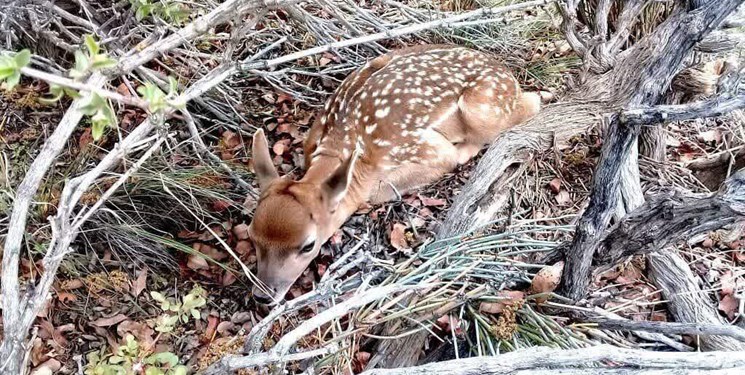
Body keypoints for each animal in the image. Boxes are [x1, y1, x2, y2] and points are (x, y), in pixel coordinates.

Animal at [247, 44, 536, 306]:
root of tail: (510, 77)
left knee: (530, 105)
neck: (337, 149)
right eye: (252, 235)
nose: (263, 295)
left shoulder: (428, 150)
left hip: (483, 108)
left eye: (308, 245)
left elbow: (386, 188)